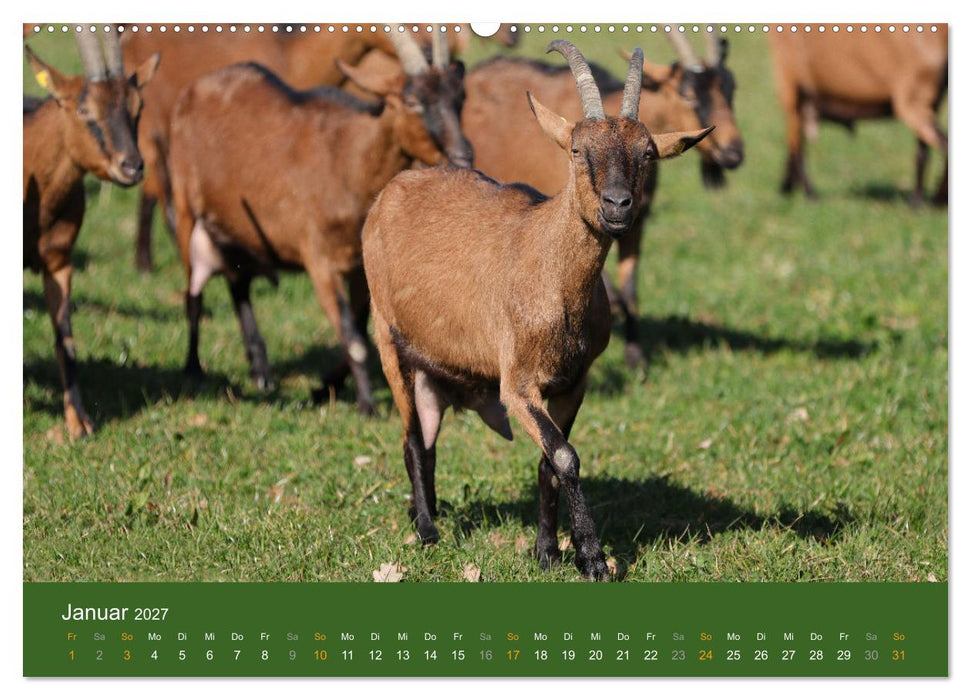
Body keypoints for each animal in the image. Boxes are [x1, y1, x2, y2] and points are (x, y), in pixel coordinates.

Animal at [23, 28, 158, 439]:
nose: (132, 166)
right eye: (84, 111)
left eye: (137, 107)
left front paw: (78, 422)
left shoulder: (59, 261)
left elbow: (65, 339)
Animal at [168, 29, 472, 416]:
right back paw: (194, 369)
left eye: (459, 97)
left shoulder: (359, 268)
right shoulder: (320, 261)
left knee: (238, 282)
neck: (346, 159)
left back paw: (261, 372)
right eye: (413, 100)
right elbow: (353, 336)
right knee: (194, 289)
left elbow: (361, 330)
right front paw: (366, 405)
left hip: (238, 225)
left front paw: (325, 386)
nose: (463, 155)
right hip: (185, 204)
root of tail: (195, 88)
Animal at [362, 40, 711, 580]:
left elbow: (550, 463)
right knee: (412, 438)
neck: (550, 273)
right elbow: (566, 457)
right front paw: (592, 559)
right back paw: (427, 531)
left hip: (431, 369)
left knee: (428, 435)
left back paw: (426, 513)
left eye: (647, 152)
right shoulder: (518, 384)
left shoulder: (572, 382)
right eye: (576, 149)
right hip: (387, 337)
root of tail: (391, 191)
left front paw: (547, 551)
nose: (618, 206)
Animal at [461, 31, 742, 367]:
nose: (733, 153)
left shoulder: (637, 223)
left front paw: (636, 358)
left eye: (647, 152)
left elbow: (630, 290)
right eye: (688, 93)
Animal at [768, 27, 948, 204]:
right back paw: (925, 199)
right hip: (927, 102)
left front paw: (804, 193)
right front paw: (788, 189)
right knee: (924, 151)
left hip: (913, 100)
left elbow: (796, 146)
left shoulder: (789, 79)